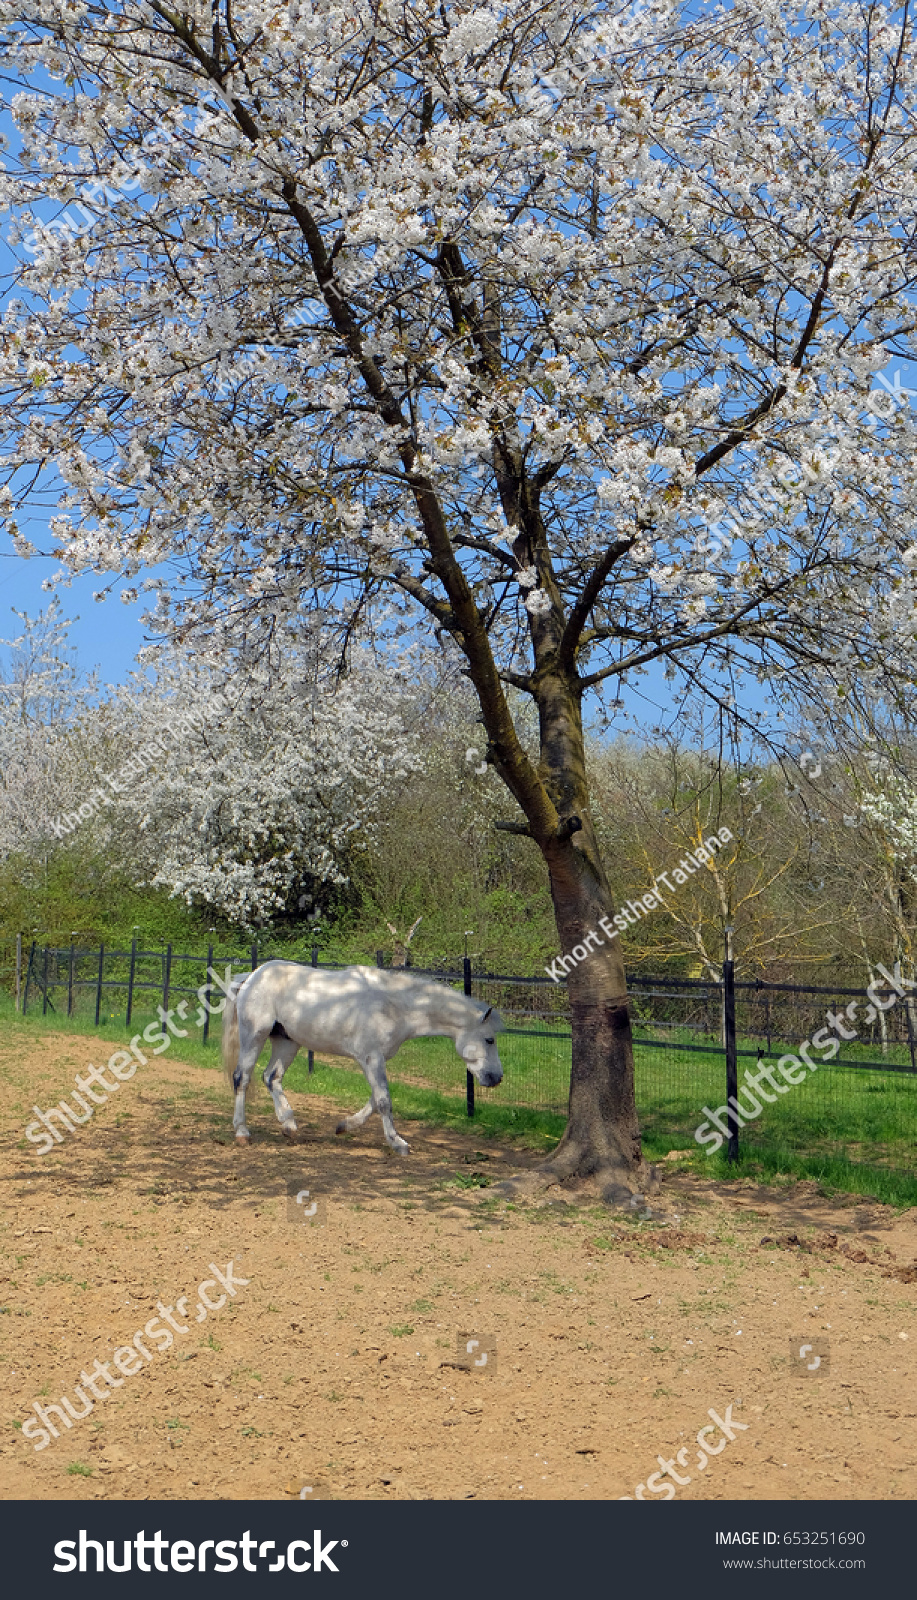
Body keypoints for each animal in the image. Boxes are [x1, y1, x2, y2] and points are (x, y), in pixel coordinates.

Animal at [222, 960, 505, 1152]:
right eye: (489, 1040)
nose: (497, 1078)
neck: (394, 1006)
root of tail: (252, 976)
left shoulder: (377, 1060)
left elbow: (375, 1099)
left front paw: (344, 1126)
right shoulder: (371, 1058)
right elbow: (383, 1100)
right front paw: (398, 1143)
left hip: (287, 1042)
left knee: (271, 1077)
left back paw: (289, 1126)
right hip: (255, 1036)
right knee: (242, 1078)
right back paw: (242, 1132)